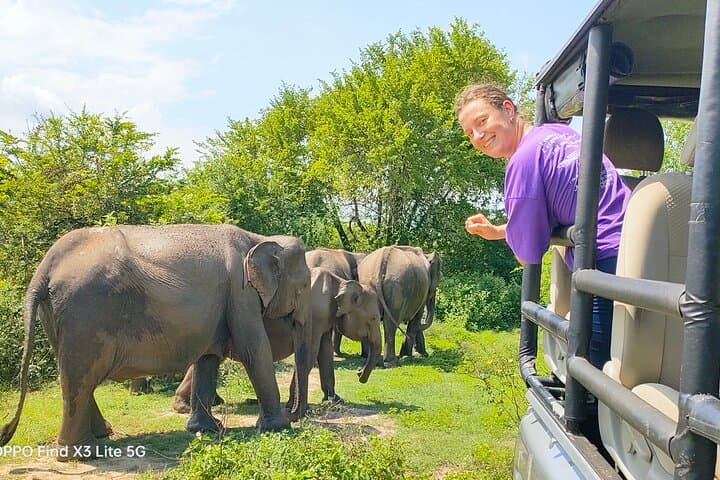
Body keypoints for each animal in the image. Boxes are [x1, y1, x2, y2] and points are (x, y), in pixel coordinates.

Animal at [0, 224, 312, 460]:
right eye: (304, 287)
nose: (297, 415)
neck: (259, 238)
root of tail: (45, 268)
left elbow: (208, 359)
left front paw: (205, 430)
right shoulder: (241, 290)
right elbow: (254, 348)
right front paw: (280, 429)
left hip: (56, 315)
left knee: (75, 375)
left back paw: (102, 435)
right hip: (85, 313)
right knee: (80, 378)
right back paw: (85, 453)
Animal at [172, 266, 382, 412]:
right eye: (373, 318)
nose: (358, 373)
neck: (340, 282)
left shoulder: (324, 318)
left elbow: (325, 353)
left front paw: (334, 401)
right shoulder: (315, 315)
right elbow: (310, 353)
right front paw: (293, 407)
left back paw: (208, 403)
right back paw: (185, 407)